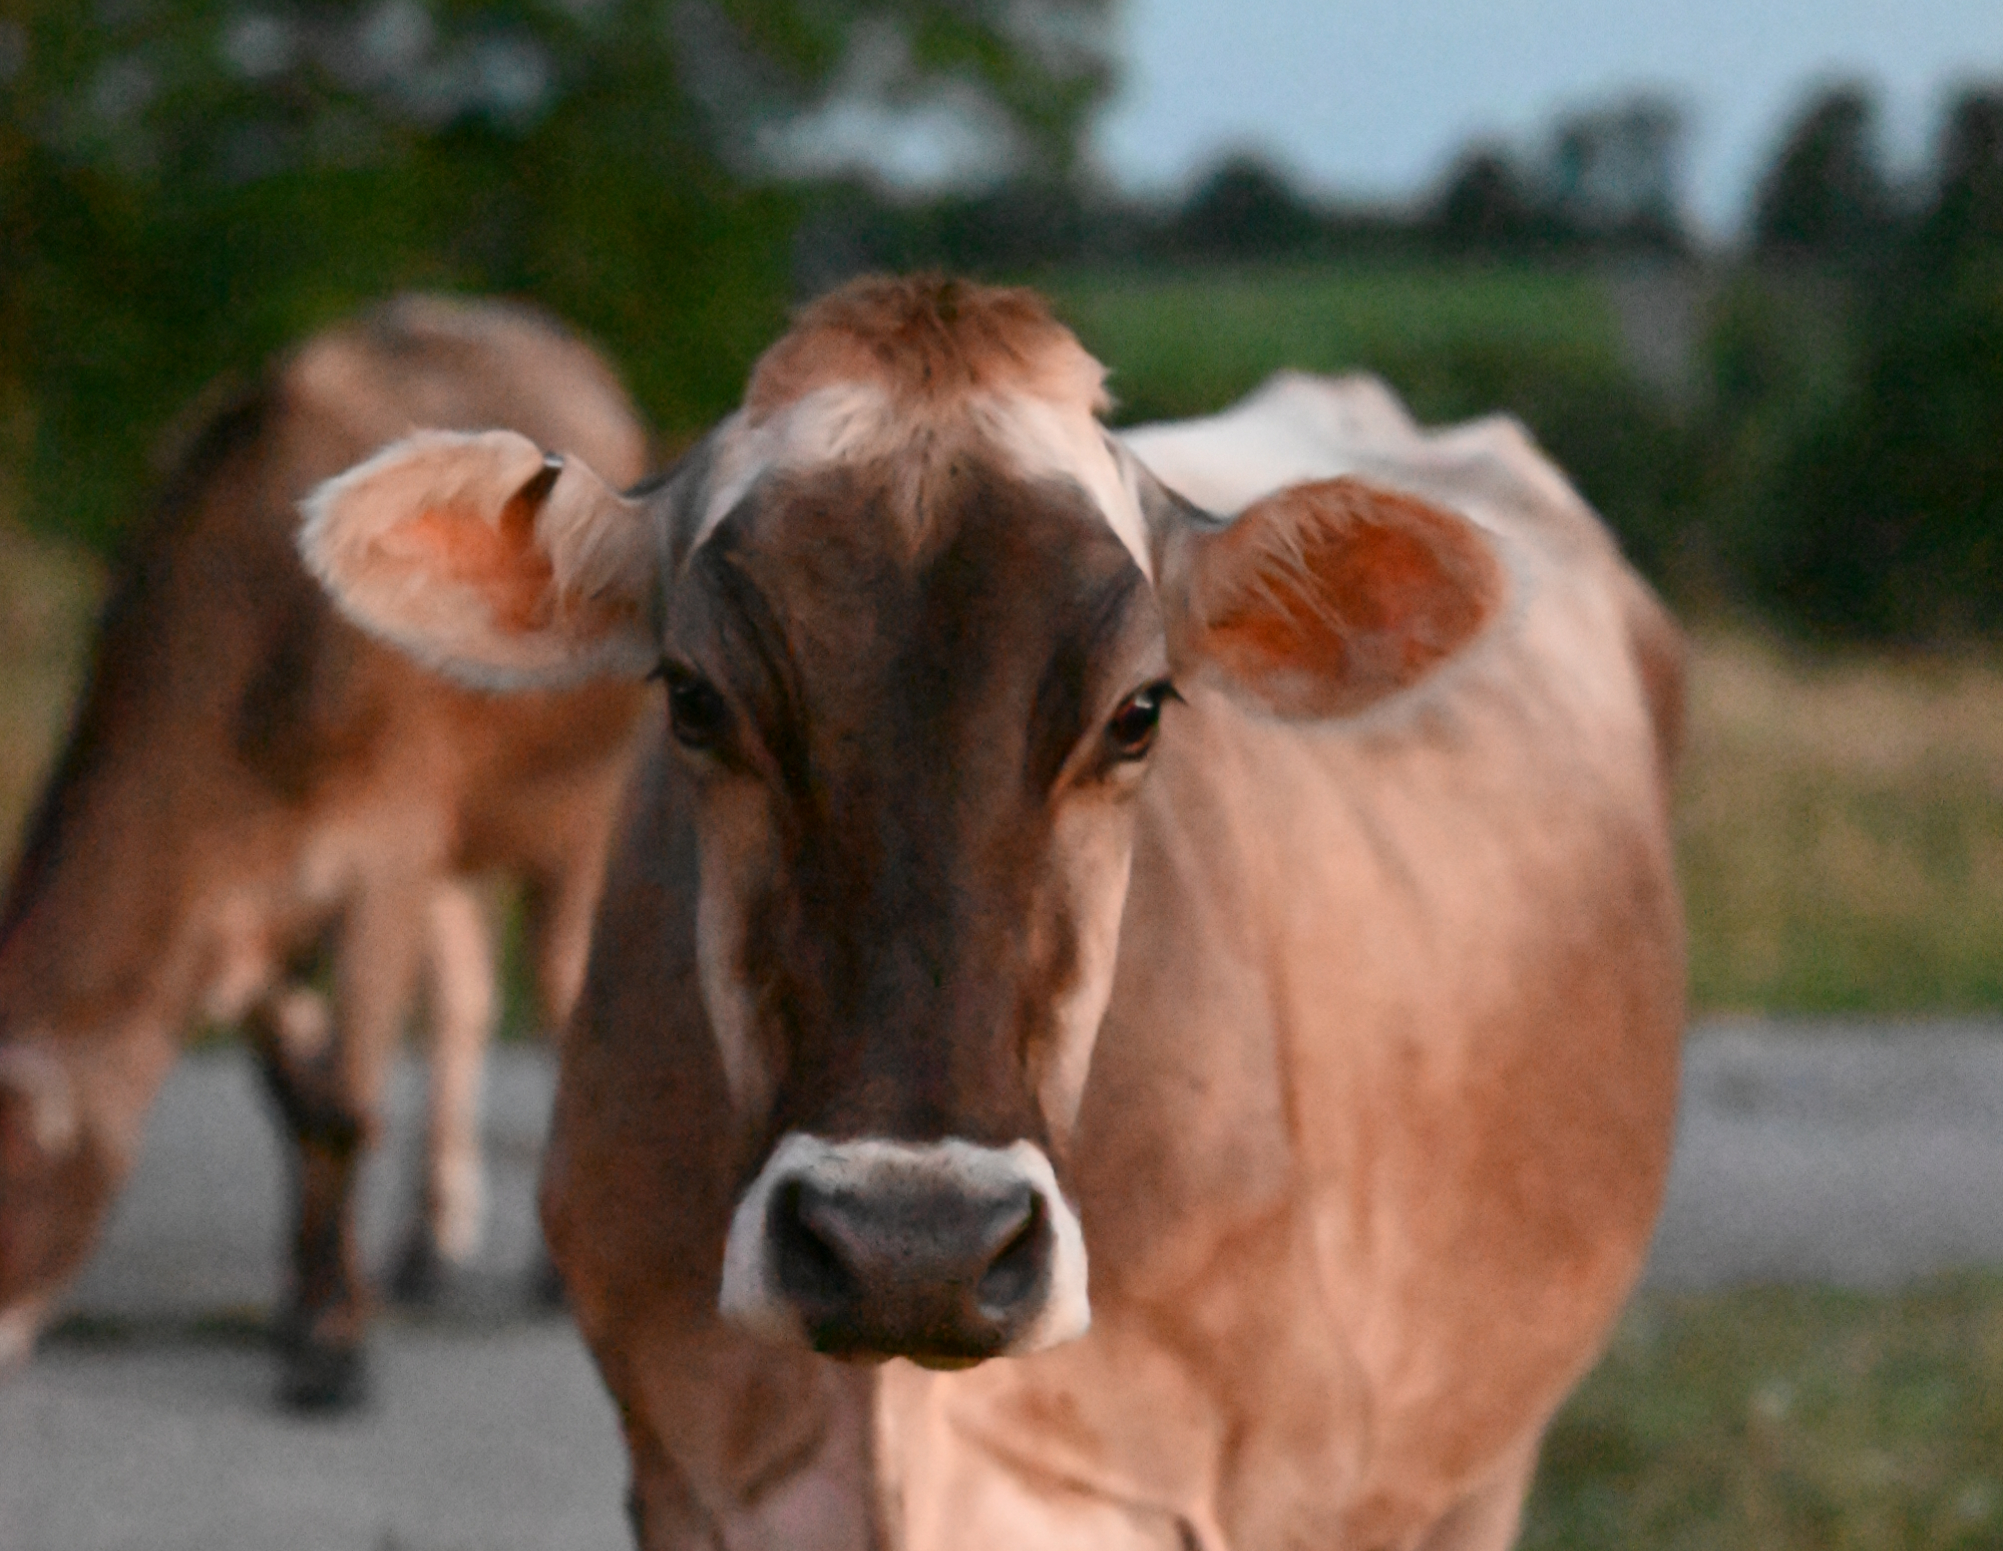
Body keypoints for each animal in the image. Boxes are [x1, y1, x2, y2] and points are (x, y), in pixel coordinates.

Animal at [0, 295, 652, 1410]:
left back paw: (550, 1275)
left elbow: (344, 1100)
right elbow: (295, 1098)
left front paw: (335, 1349)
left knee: (563, 990)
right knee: (465, 996)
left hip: (578, 805)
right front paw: (307, 1307)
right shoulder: (245, 893)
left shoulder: (383, 842)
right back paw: (426, 1248)